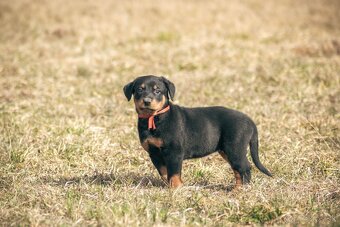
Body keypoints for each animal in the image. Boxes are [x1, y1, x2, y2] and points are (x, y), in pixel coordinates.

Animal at [123, 75, 272, 188]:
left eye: (157, 91)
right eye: (140, 90)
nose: (147, 101)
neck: (154, 118)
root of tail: (250, 121)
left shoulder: (174, 152)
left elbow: (174, 173)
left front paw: (176, 189)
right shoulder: (154, 153)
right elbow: (165, 172)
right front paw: (169, 187)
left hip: (235, 148)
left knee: (245, 168)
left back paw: (239, 191)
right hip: (227, 151)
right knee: (238, 170)